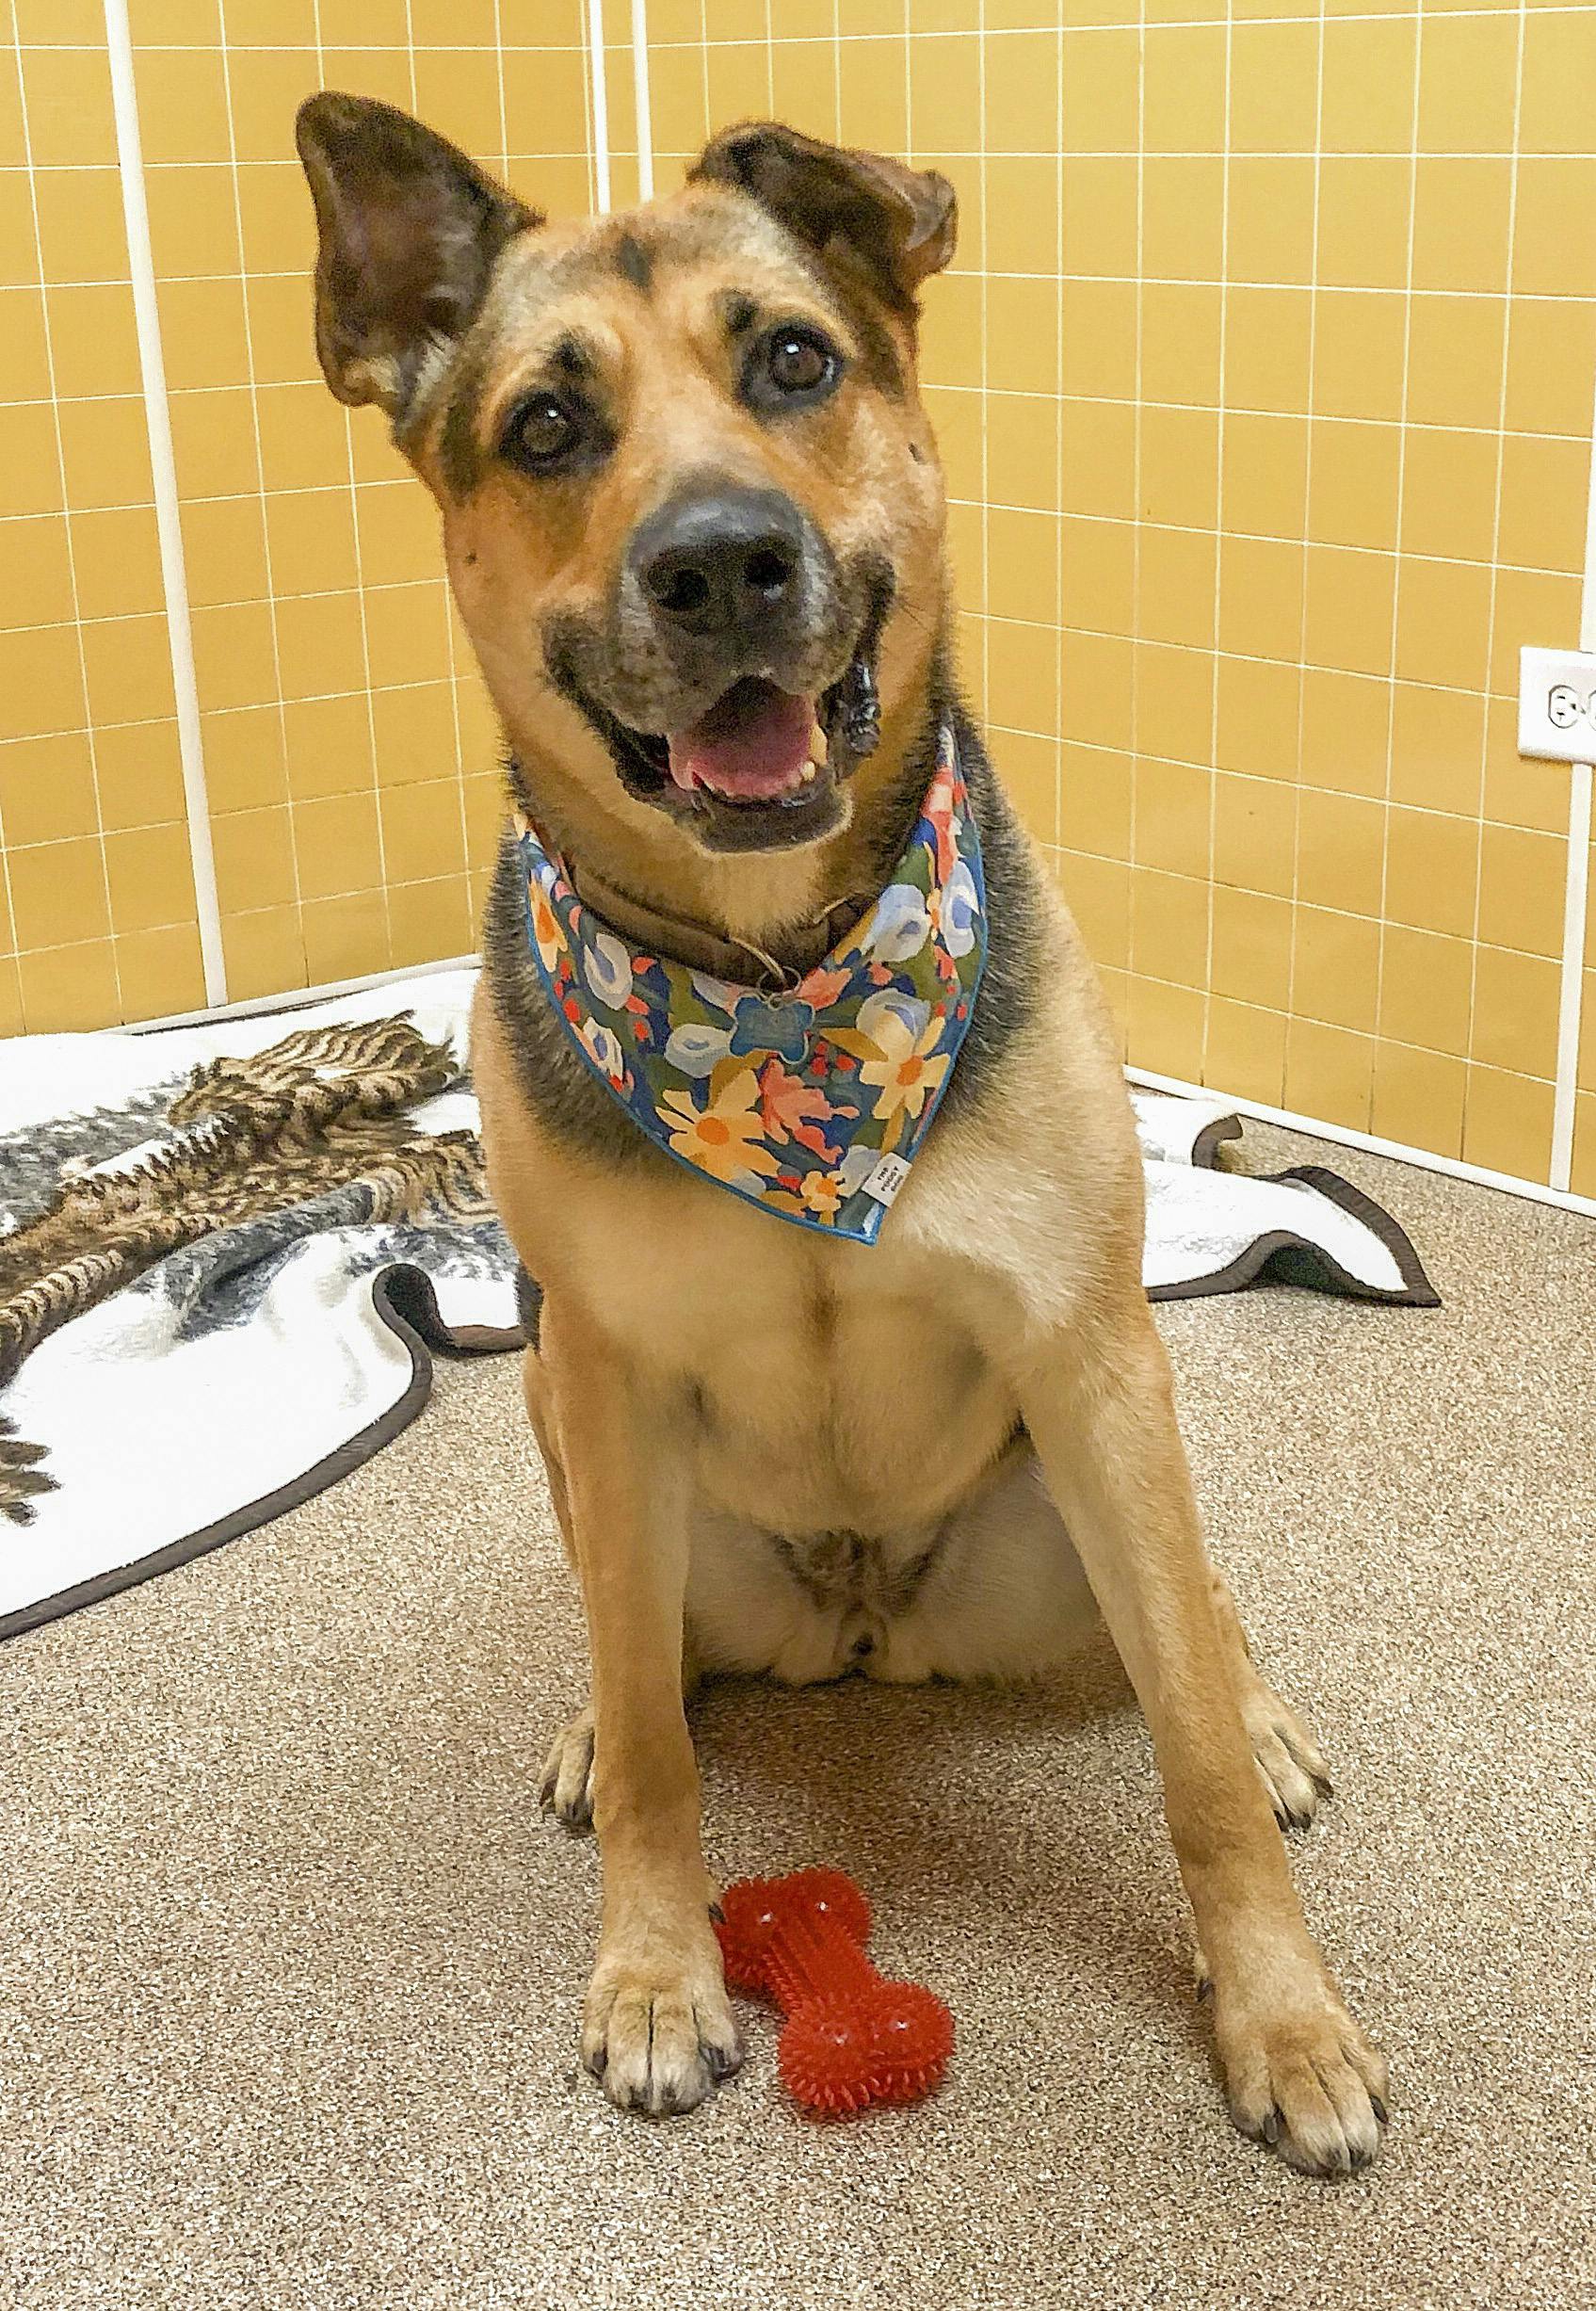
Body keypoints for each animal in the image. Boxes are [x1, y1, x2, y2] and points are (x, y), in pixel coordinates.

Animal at [295, 94, 1385, 2181]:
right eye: (544, 428)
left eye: (794, 360)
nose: (721, 563)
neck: (777, 989)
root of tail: (873, 1633)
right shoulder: (607, 1372)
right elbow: (657, 1741)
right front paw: (656, 1968)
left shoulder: (1084, 1345)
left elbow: (1194, 1763)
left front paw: (1280, 2018)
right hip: (577, 1429)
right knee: (639, 1649)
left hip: (1098, 1466)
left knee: (1187, 1628)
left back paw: (1266, 1703)